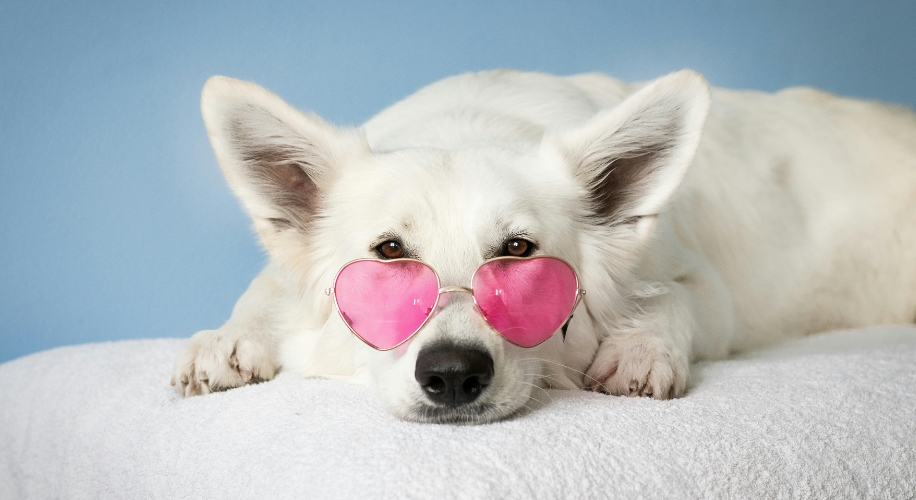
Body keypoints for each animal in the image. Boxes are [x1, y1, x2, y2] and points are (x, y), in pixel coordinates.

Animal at [172, 69, 916, 422]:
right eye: (389, 255)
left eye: (519, 252)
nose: (452, 376)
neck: (470, 123)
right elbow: (264, 290)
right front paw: (228, 338)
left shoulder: (708, 288)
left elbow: (669, 301)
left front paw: (639, 348)